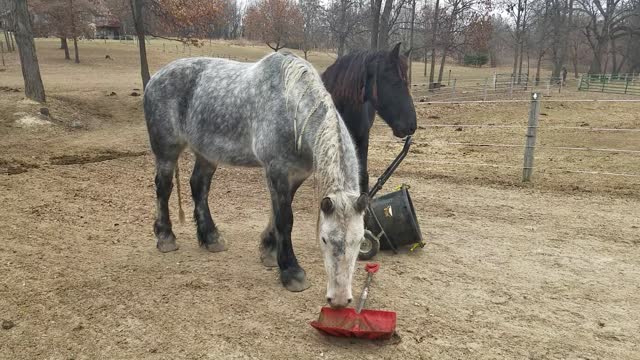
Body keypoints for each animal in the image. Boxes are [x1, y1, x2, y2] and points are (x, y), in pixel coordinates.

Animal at [142, 52, 368, 306]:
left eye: (360, 241)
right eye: (324, 239)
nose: (339, 300)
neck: (293, 112)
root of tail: (155, 78)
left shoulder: (295, 174)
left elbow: (278, 213)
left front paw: (268, 252)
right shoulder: (277, 169)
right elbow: (285, 219)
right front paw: (291, 271)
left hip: (207, 153)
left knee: (199, 186)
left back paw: (211, 238)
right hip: (167, 151)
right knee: (163, 188)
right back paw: (166, 237)